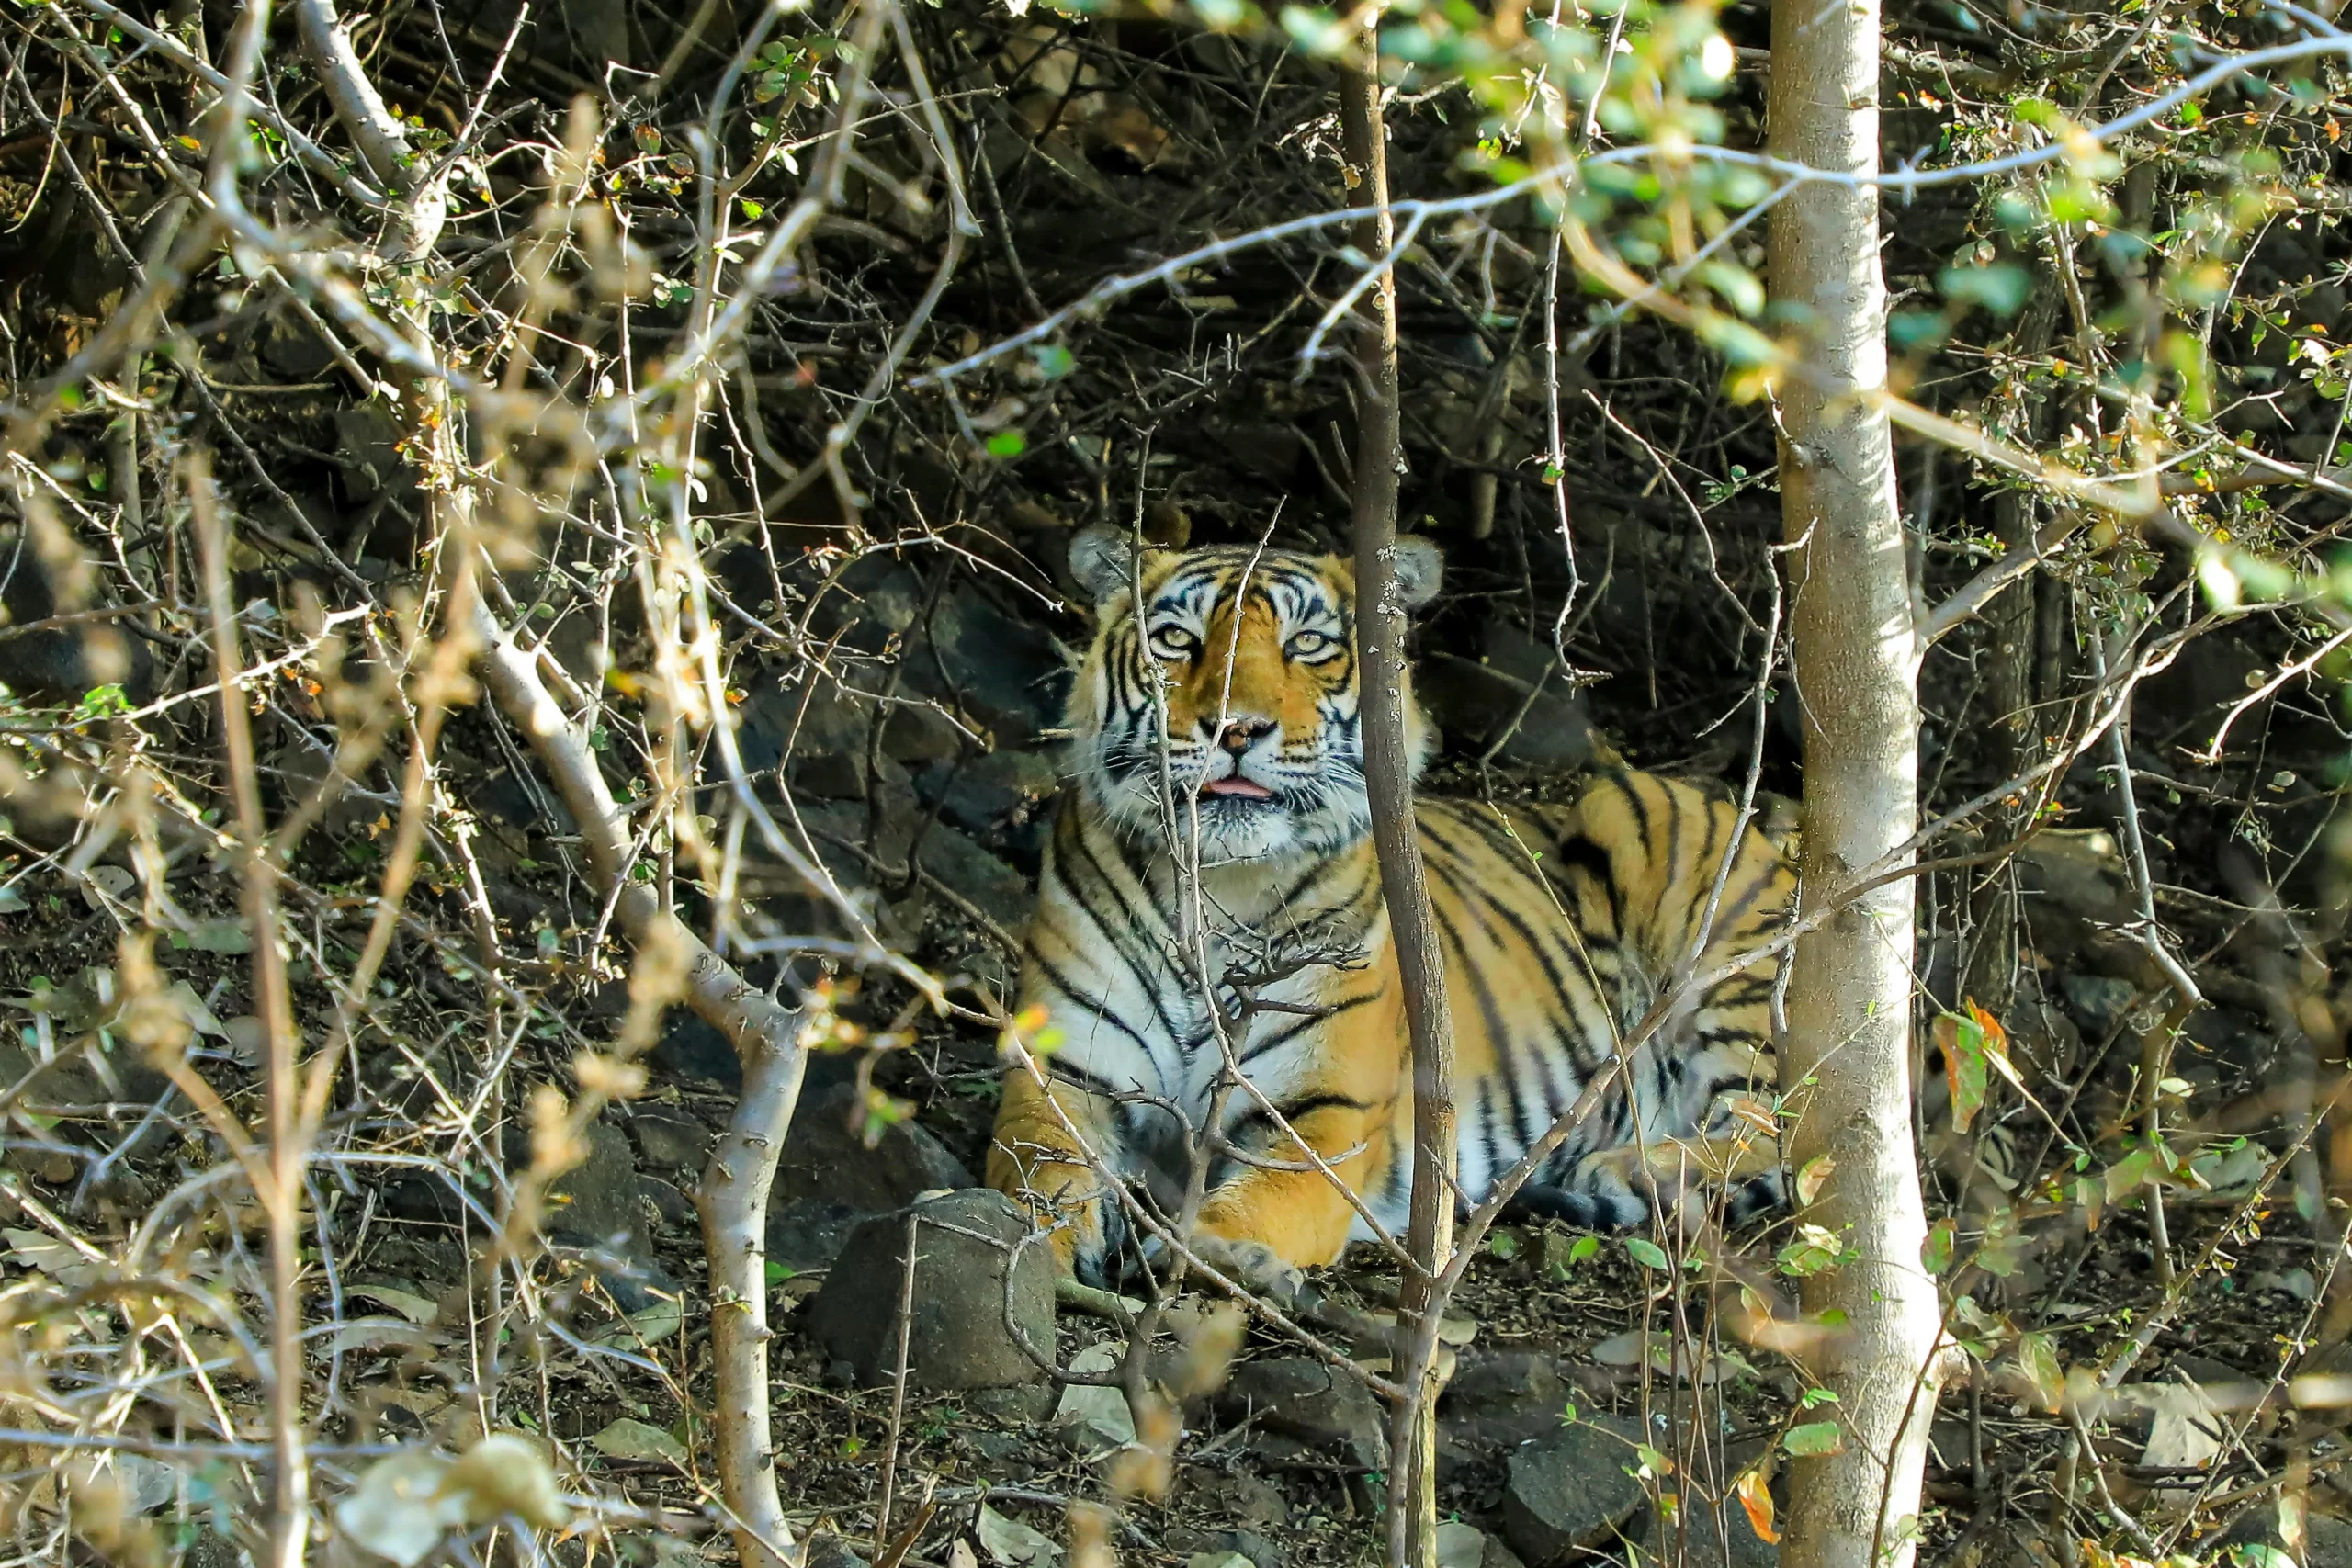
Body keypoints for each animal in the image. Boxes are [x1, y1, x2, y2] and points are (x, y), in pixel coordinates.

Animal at [983, 526, 1787, 1288]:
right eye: (1177, 639)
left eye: (1308, 644)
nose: (1235, 727)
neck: (1220, 892)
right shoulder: (1058, 1079)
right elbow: (1034, 1180)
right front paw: (1029, 1255)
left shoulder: (1324, 1115)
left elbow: (1250, 1204)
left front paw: (1212, 1253)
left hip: (1650, 845)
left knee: (1779, 1127)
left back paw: (1615, 1166)